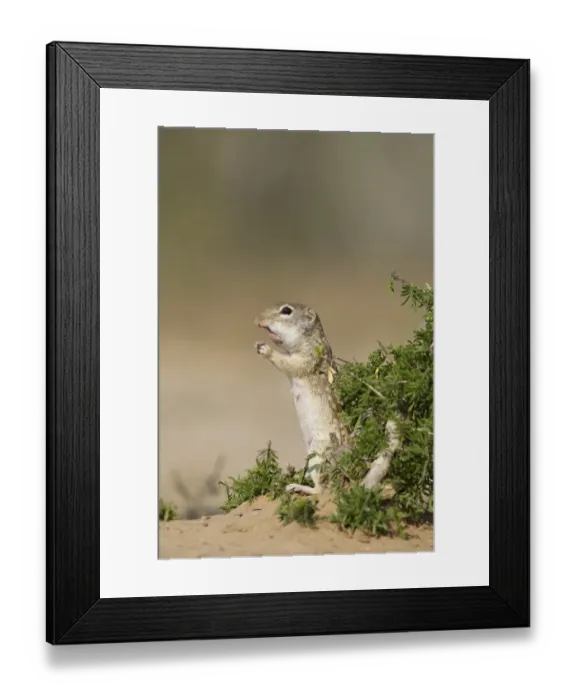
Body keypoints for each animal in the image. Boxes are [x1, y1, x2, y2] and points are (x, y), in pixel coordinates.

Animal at [254, 302, 400, 496]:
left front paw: (265, 349)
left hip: (318, 451)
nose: (258, 320)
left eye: (286, 310)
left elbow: (288, 363)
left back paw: (298, 487)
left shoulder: (307, 358)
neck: (312, 338)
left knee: (321, 489)